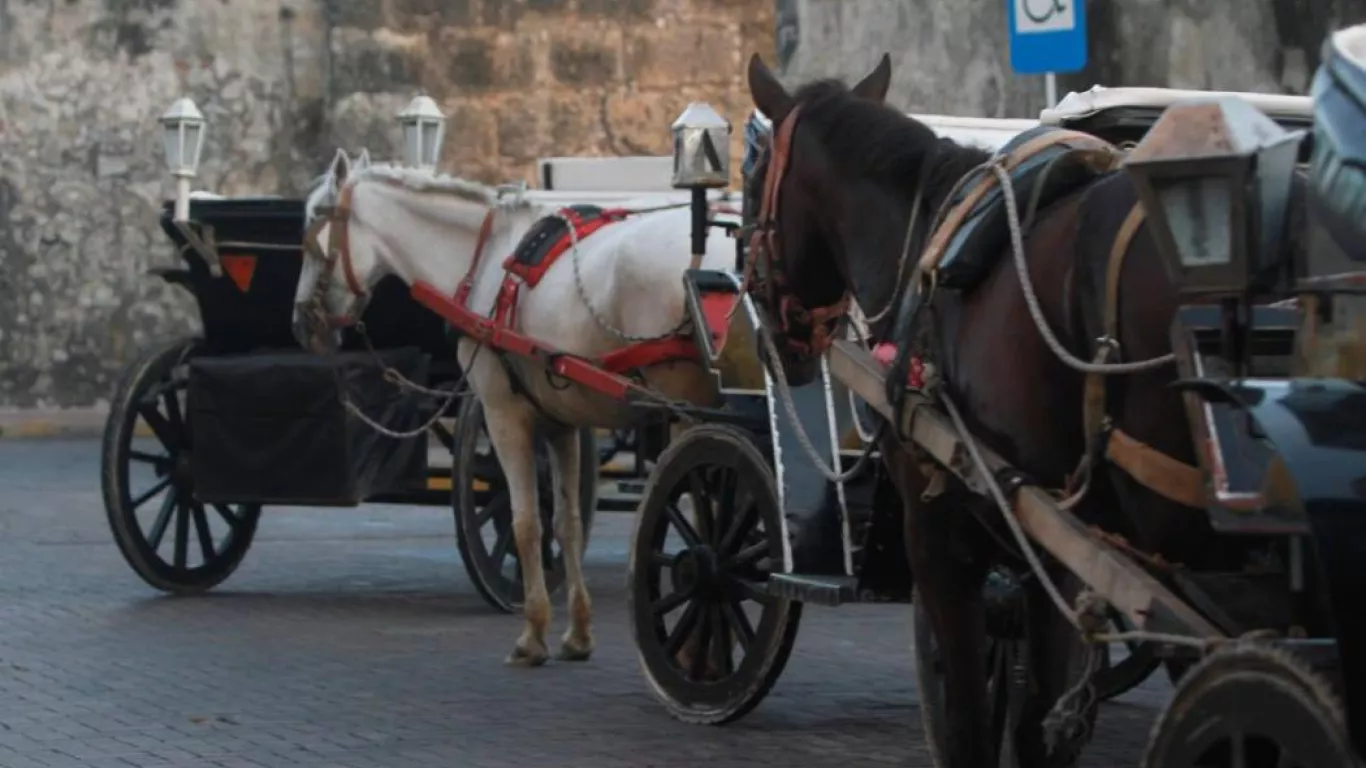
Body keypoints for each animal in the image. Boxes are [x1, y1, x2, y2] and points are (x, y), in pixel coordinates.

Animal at [293, 149, 743, 664]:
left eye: (313, 224)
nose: (302, 323)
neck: (488, 260)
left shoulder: (503, 414)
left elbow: (526, 523)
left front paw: (534, 633)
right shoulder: (561, 423)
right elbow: (566, 523)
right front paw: (578, 632)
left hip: (689, 410)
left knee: (708, 512)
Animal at [743, 50, 1223, 759]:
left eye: (750, 184)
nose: (776, 341)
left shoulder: (942, 535)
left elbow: (972, 719)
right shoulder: (1052, 554)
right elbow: (1034, 719)